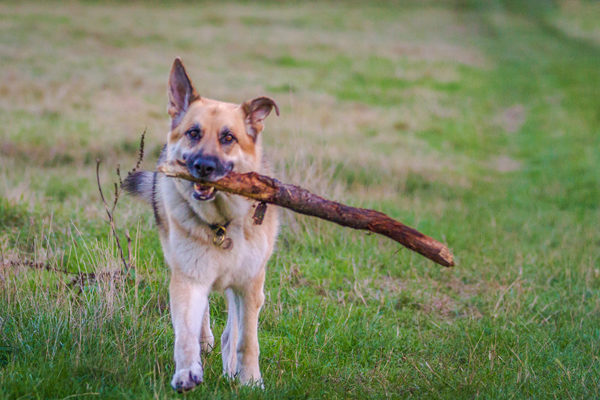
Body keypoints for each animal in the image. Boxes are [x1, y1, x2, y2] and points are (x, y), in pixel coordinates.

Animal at [125, 57, 280, 392]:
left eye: (228, 138)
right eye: (193, 133)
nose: (203, 167)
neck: (221, 222)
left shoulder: (249, 283)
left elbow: (247, 339)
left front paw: (249, 379)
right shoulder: (189, 277)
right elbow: (185, 330)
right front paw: (187, 371)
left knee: (233, 327)